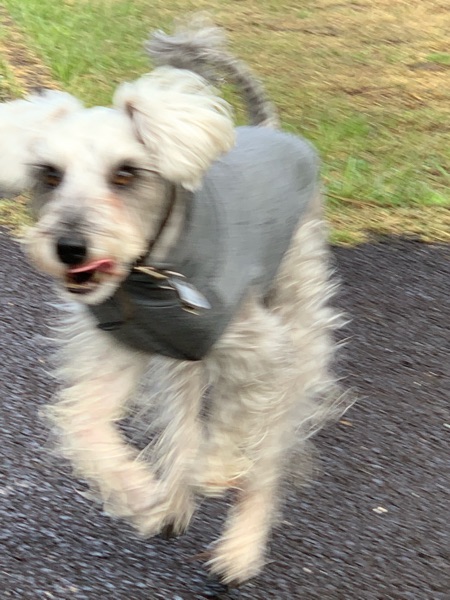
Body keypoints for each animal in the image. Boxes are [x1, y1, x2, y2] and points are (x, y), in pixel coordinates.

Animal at [0, 17, 348, 588]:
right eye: (49, 173)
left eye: (125, 173)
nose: (70, 247)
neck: (148, 275)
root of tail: (271, 128)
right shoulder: (115, 352)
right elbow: (85, 426)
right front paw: (136, 492)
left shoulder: (261, 348)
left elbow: (238, 417)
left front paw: (220, 468)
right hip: (180, 365)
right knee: (182, 426)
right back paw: (171, 500)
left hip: (299, 328)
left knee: (268, 446)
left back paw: (239, 544)